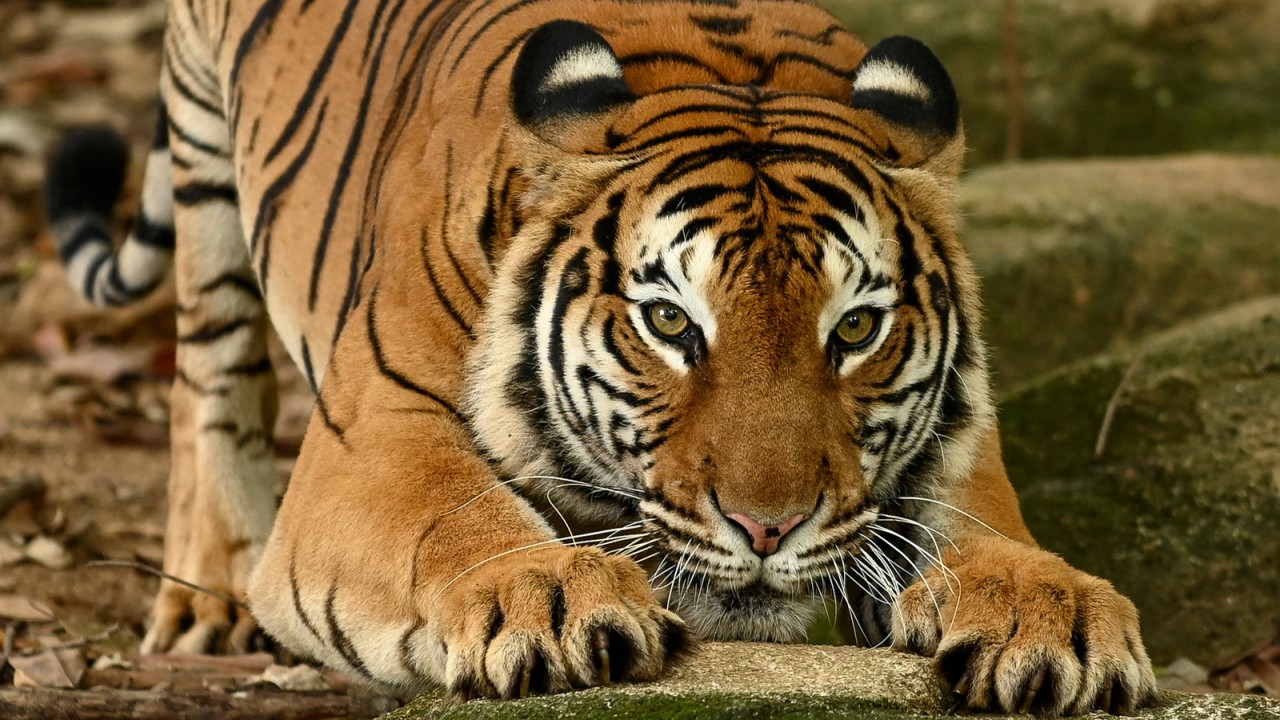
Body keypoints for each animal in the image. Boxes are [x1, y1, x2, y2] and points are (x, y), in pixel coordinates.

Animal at [44, 0, 1158, 714]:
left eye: (852, 331)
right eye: (668, 323)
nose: (768, 527)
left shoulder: (960, 446)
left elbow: (994, 536)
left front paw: (1052, 614)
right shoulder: (373, 442)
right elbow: (456, 519)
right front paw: (546, 594)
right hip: (201, 153)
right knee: (207, 375)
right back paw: (205, 602)